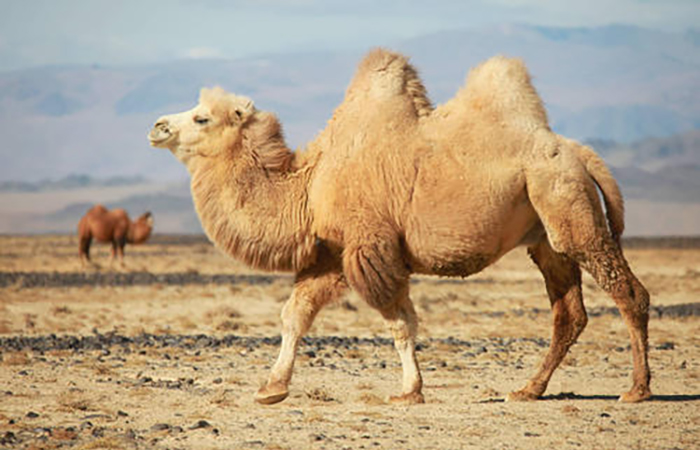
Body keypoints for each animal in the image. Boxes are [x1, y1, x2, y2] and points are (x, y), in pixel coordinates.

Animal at [148, 48, 652, 404]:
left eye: (201, 117)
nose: (157, 126)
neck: (310, 185)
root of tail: (579, 153)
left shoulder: (370, 246)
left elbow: (399, 322)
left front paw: (410, 391)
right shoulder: (333, 253)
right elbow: (295, 315)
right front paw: (272, 389)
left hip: (568, 206)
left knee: (628, 292)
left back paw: (636, 389)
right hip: (545, 233)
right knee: (569, 313)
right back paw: (528, 389)